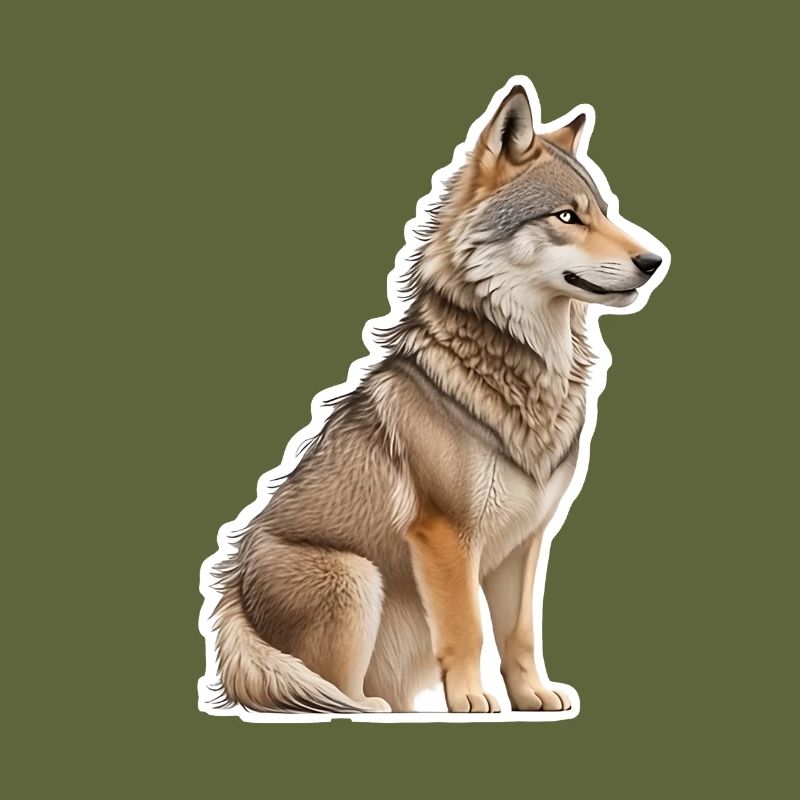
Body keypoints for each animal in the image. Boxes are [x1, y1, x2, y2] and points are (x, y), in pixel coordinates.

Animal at [204, 82, 665, 715]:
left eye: (605, 210)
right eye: (567, 216)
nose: (655, 261)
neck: (527, 372)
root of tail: (231, 596)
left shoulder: (527, 543)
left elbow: (519, 632)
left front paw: (531, 696)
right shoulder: (445, 536)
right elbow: (468, 627)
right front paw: (471, 700)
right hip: (356, 577)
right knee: (330, 689)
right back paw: (373, 711)